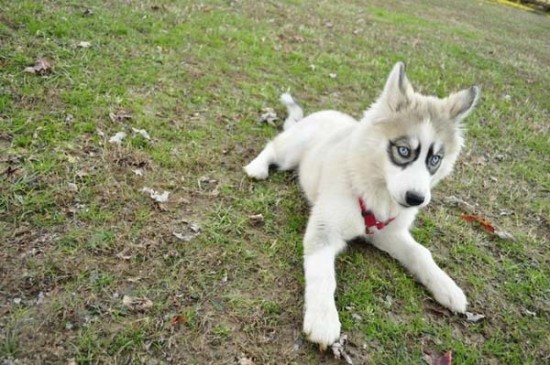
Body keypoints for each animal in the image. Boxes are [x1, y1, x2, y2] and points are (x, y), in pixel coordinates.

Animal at [244, 62, 480, 346]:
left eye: (434, 159)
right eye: (403, 151)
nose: (416, 199)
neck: (375, 191)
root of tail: (324, 113)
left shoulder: (387, 232)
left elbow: (421, 253)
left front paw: (446, 287)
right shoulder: (324, 230)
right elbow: (323, 274)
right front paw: (323, 318)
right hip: (291, 152)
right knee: (272, 147)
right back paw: (257, 167)